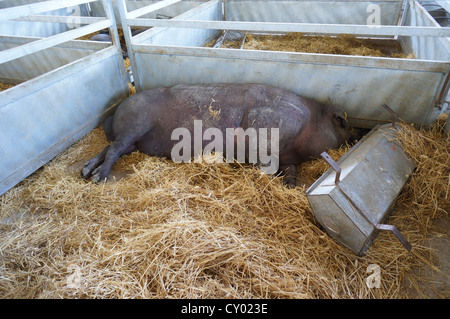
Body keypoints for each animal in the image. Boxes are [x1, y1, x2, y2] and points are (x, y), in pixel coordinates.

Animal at [81, 84, 356, 186]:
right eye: (343, 123)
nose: (357, 134)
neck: (310, 121)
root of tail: (118, 110)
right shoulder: (265, 130)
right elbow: (266, 163)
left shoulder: (289, 157)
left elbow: (291, 169)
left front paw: (290, 185)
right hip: (135, 124)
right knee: (113, 149)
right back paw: (97, 178)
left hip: (134, 140)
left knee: (110, 148)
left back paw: (86, 170)